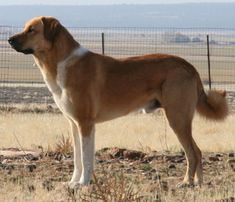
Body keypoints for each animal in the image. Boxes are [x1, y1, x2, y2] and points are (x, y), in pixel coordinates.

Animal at [8, 16, 229, 189]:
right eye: (25, 27)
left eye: (31, 29)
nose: (9, 40)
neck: (60, 62)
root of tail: (188, 65)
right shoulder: (74, 124)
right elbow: (78, 158)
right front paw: (73, 182)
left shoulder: (85, 124)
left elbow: (86, 158)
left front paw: (83, 183)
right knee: (197, 152)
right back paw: (198, 183)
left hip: (177, 119)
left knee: (193, 152)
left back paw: (186, 182)